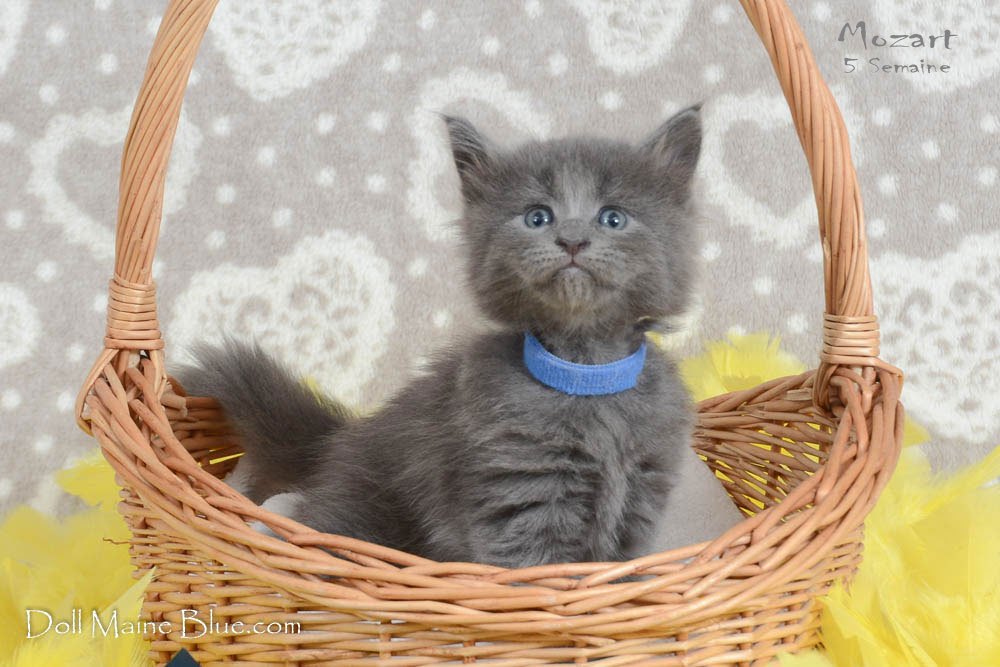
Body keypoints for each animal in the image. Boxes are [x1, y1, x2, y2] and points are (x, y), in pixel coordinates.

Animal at [178, 105, 707, 568]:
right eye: (537, 217)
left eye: (612, 218)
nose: (573, 240)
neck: (586, 374)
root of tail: (336, 441)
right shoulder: (523, 488)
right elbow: (540, 574)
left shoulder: (640, 492)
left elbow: (622, 569)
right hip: (369, 513)